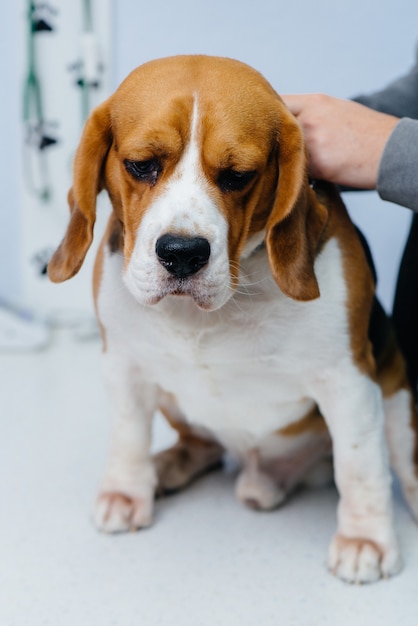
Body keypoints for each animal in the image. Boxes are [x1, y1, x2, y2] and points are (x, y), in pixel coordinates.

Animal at [48, 56, 418, 584]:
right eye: (141, 165)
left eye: (238, 176)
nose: (182, 253)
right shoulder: (124, 364)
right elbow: (128, 434)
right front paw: (126, 490)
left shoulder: (348, 380)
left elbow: (358, 463)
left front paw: (364, 538)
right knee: (200, 444)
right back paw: (167, 468)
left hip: (396, 398)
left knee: (397, 465)